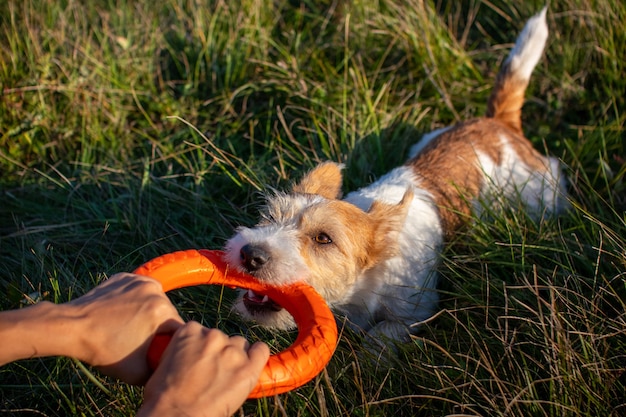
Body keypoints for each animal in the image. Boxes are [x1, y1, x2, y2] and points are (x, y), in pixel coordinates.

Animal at [223, 6, 564, 346]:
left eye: (323, 238)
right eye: (269, 217)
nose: (250, 254)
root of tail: (500, 123)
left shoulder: (412, 313)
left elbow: (380, 339)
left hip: (538, 196)